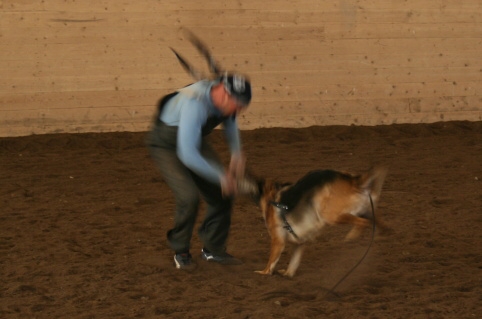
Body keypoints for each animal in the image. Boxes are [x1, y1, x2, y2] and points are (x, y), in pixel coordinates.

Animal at [239, 168, 390, 278]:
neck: (271, 198)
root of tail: (354, 181)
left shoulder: (278, 241)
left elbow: (270, 262)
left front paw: (263, 272)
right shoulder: (299, 243)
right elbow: (293, 265)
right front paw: (287, 274)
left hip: (331, 215)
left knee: (363, 222)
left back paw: (352, 236)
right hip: (366, 210)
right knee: (377, 222)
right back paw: (381, 234)